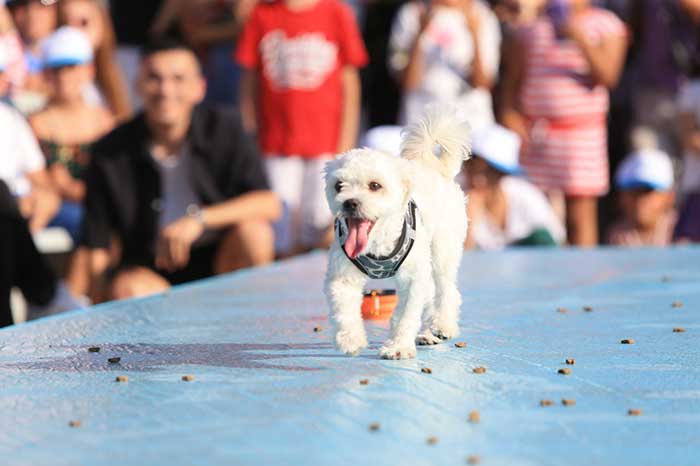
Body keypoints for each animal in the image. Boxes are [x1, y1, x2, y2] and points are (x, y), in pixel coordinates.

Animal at [324, 111, 470, 358]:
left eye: (375, 185)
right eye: (339, 185)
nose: (350, 203)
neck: (376, 244)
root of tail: (435, 169)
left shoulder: (412, 279)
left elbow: (405, 315)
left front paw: (398, 347)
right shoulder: (343, 277)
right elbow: (344, 312)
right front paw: (351, 339)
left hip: (443, 253)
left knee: (447, 292)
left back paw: (442, 326)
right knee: (431, 294)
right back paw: (428, 333)